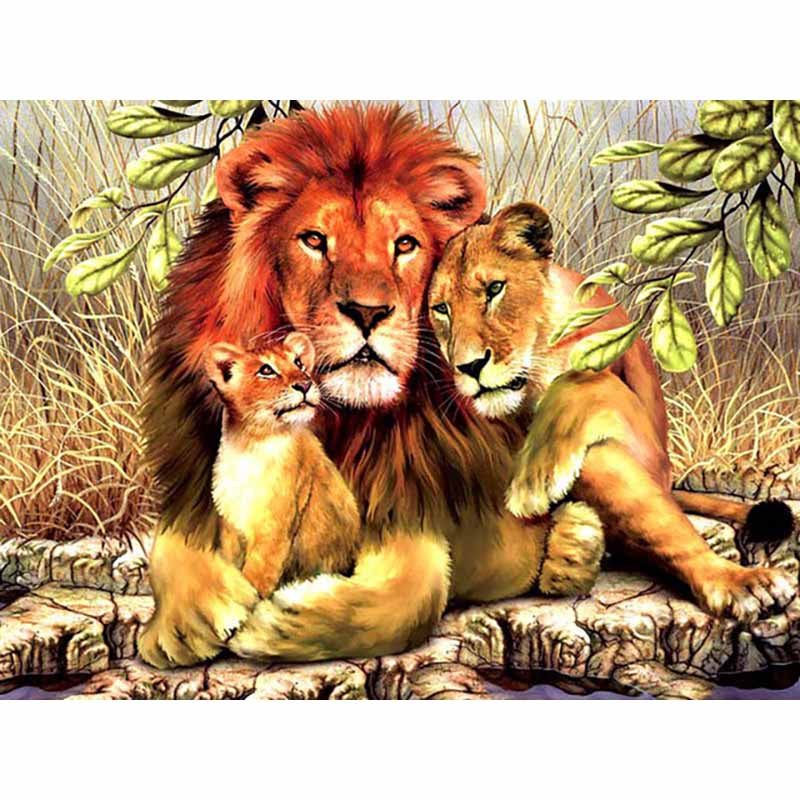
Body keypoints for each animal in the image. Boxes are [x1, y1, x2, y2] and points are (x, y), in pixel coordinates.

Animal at [428, 200, 796, 622]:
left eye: (494, 289)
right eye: (441, 309)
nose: (469, 367)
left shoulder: (645, 437)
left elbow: (582, 378)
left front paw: (534, 482)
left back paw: (740, 582)